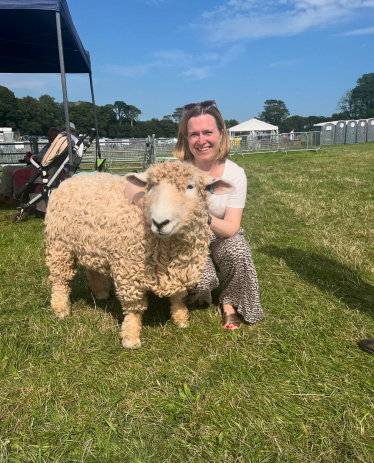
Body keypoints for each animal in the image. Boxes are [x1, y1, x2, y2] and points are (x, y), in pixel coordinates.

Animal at [44, 162, 234, 348]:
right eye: (151, 186)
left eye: (190, 186)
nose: (160, 223)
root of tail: (73, 178)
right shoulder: (129, 272)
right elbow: (134, 309)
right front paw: (130, 337)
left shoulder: (182, 270)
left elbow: (178, 298)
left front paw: (181, 319)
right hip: (59, 245)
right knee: (60, 279)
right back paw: (61, 309)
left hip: (92, 244)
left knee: (94, 270)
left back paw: (101, 293)